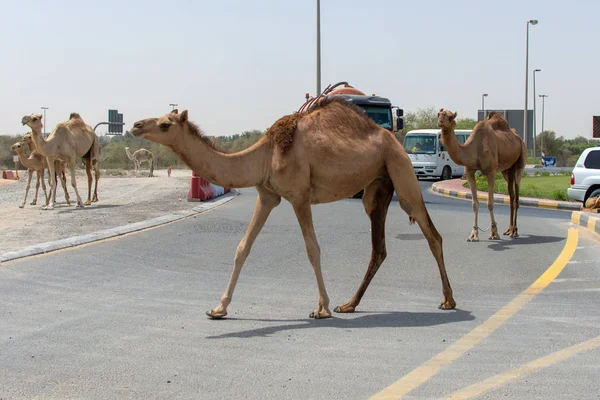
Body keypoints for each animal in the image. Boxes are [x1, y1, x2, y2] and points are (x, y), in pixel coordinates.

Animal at [127, 99, 454, 318]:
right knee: (379, 248)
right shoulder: (267, 195)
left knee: (432, 234)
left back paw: (448, 300)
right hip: (376, 187)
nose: (136, 125)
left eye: (165, 123)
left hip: (400, 169)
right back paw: (349, 304)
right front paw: (218, 308)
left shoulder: (298, 195)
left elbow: (312, 249)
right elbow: (242, 247)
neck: (264, 154)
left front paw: (321, 308)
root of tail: (391, 138)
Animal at [436, 108, 524, 242]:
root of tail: (518, 137)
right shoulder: (469, 172)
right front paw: (473, 234)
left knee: (517, 194)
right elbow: (474, 204)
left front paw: (494, 233)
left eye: (450, 117)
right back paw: (508, 230)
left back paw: (515, 231)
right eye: (439, 114)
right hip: (507, 170)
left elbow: (490, 203)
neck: (475, 148)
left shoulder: (491, 171)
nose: (440, 122)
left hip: (521, 159)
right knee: (511, 195)